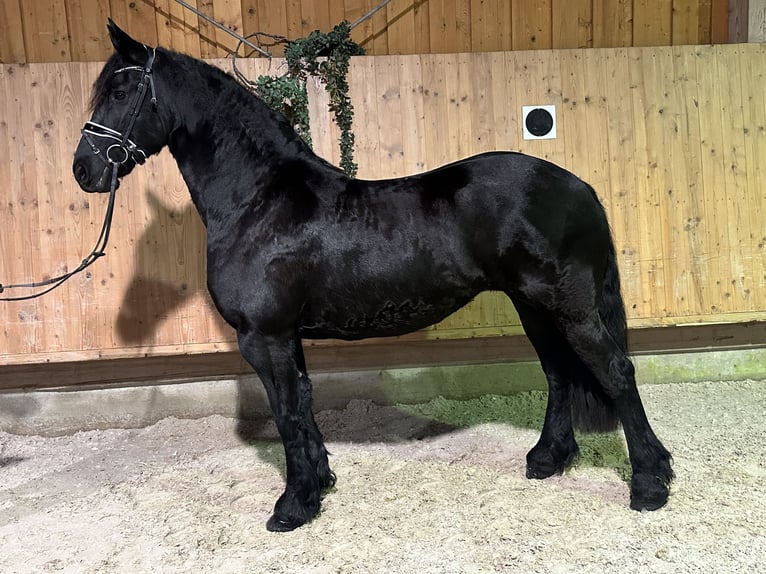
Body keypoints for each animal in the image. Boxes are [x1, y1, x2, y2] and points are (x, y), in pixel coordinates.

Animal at [73, 21, 673, 532]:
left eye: (121, 90)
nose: (85, 169)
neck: (259, 200)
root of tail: (578, 186)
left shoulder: (264, 337)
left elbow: (285, 412)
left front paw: (291, 507)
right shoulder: (286, 336)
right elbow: (304, 403)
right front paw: (319, 485)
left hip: (566, 304)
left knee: (614, 371)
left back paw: (649, 483)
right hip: (534, 306)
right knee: (559, 373)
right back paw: (549, 459)